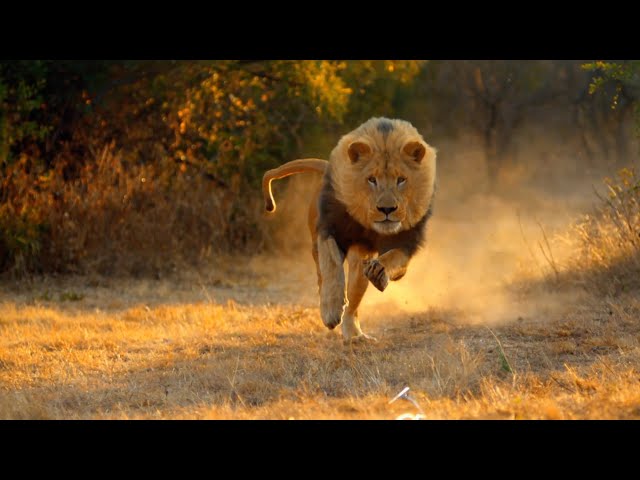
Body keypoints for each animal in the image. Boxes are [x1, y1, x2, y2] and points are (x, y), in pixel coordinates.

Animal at [262, 117, 437, 343]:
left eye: (401, 180)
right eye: (371, 179)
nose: (387, 209)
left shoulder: (406, 244)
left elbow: (392, 258)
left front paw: (379, 272)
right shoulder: (330, 230)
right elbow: (331, 265)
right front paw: (330, 310)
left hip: (359, 260)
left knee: (353, 305)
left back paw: (355, 335)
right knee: (321, 276)